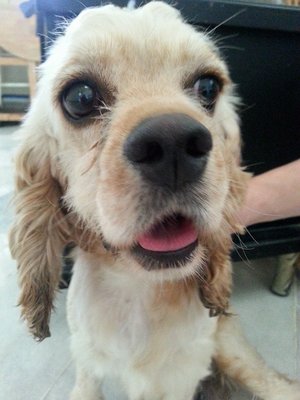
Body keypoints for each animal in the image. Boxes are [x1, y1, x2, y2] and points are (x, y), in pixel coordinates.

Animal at [9, 3, 300, 400]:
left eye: (208, 87)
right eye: (80, 97)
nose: (174, 143)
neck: (138, 292)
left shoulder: (177, 379)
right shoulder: (87, 365)